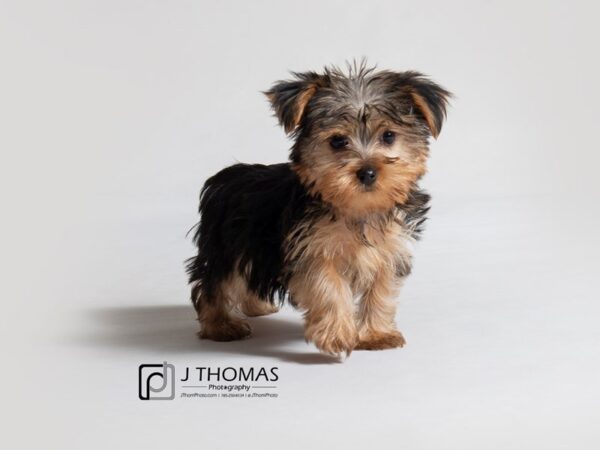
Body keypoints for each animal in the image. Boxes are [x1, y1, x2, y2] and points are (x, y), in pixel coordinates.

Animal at [188, 63, 450, 356]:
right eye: (337, 141)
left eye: (389, 136)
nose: (367, 172)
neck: (357, 209)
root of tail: (226, 176)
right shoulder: (312, 250)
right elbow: (328, 286)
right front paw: (337, 335)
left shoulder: (390, 250)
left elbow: (381, 290)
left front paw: (376, 335)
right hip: (227, 246)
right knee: (215, 282)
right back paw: (221, 326)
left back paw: (257, 306)